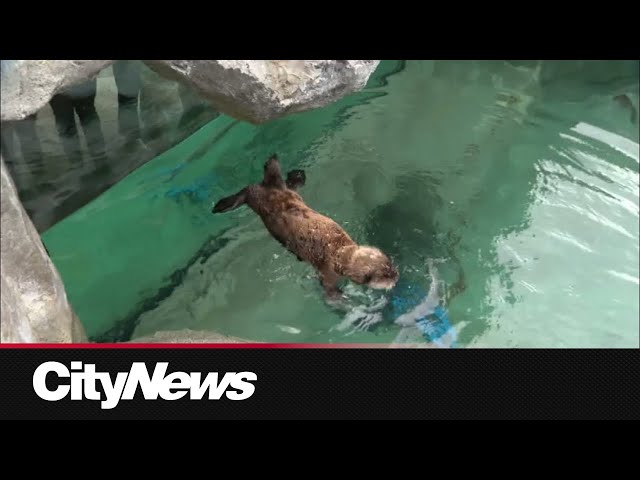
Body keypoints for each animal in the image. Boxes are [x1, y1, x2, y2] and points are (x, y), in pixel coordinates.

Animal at [212, 154, 398, 298]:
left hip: (288, 193)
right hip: (256, 199)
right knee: (246, 190)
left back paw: (297, 176)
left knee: (284, 185)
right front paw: (341, 299)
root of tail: (272, 187)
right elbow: (329, 290)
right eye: (385, 275)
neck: (339, 251)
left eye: (389, 264)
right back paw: (222, 205)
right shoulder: (328, 273)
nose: (396, 275)